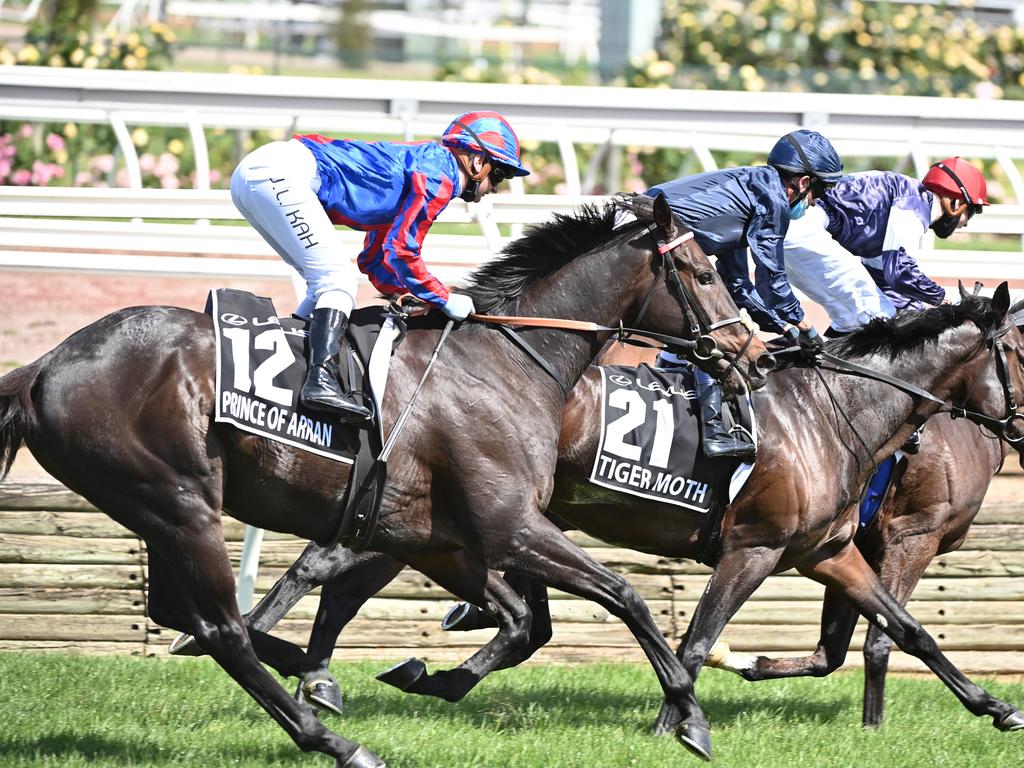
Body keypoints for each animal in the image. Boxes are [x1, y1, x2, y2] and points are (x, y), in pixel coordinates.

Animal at [0, 193, 770, 768]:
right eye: (704, 274)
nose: (755, 353)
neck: (507, 358)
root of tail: (42, 366)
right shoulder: (509, 526)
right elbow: (625, 597)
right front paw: (688, 717)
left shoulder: (438, 538)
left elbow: (523, 621)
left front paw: (425, 673)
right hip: (180, 504)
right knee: (220, 629)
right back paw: (334, 738)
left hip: (159, 510)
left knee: (187, 615)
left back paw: (308, 678)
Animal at [218, 288, 1024, 745]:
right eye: (1020, 351)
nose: (1021, 426)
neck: (833, 414)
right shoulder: (757, 548)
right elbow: (696, 643)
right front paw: (676, 719)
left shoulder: (829, 552)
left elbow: (909, 630)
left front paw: (995, 708)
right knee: (332, 570)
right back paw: (294, 660)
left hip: (436, 522)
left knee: (342, 574)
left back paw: (314, 667)